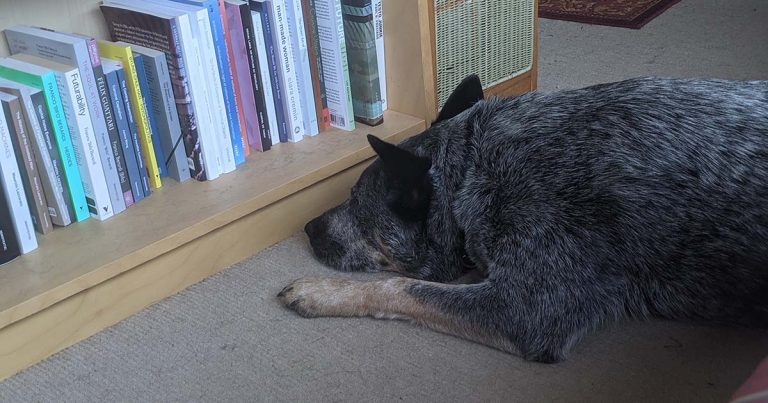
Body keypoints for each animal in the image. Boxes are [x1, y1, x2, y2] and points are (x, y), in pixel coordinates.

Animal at [278, 76, 768, 362]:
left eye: (355, 201)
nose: (308, 228)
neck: (473, 170)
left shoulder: (528, 308)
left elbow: (399, 287)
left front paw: (321, 292)